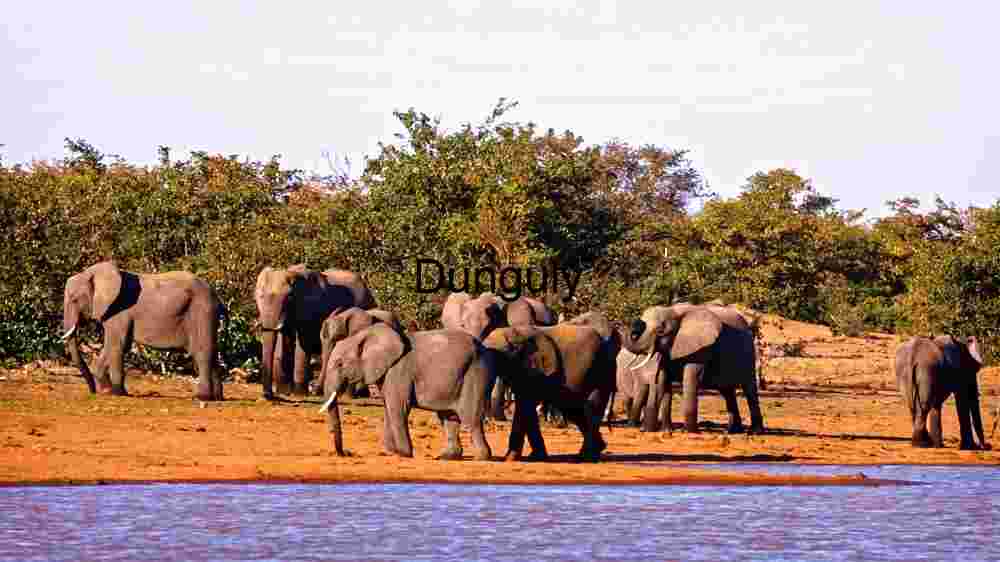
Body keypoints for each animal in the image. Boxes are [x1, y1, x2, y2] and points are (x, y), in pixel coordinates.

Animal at [60, 260, 226, 400]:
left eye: (74, 299)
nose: (92, 392)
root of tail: (217, 297)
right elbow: (116, 346)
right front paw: (108, 392)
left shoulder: (119, 310)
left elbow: (118, 345)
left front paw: (119, 393)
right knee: (212, 351)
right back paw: (217, 398)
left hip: (202, 310)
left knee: (202, 352)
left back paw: (202, 397)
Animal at [254, 264, 375, 399]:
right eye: (259, 296)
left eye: (289, 298)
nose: (267, 395)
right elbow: (284, 339)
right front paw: (284, 393)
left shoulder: (309, 308)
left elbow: (303, 342)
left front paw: (299, 394)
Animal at [317, 324, 495, 460]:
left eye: (340, 364)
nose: (347, 453)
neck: (365, 335)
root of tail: (484, 348)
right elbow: (388, 407)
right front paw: (391, 451)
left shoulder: (399, 371)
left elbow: (398, 408)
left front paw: (403, 453)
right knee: (449, 417)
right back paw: (446, 457)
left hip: (476, 372)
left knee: (470, 419)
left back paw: (481, 457)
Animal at [482, 324, 616, 462]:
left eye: (500, 356)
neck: (514, 331)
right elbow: (527, 407)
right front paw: (536, 457)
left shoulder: (535, 368)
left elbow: (525, 405)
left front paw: (510, 458)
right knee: (574, 409)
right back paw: (596, 449)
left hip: (600, 371)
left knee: (590, 407)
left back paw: (586, 457)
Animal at [623, 303, 764, 434]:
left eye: (660, 331)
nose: (637, 322)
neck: (673, 311)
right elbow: (661, 380)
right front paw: (653, 430)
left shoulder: (701, 347)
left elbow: (690, 378)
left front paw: (688, 432)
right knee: (727, 392)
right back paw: (733, 431)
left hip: (749, 352)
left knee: (749, 388)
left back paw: (755, 432)